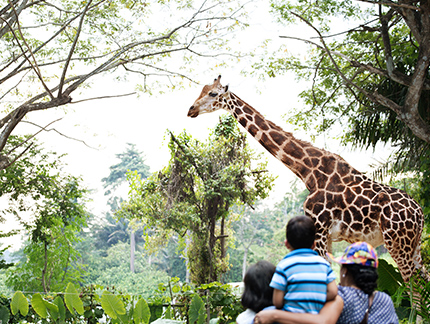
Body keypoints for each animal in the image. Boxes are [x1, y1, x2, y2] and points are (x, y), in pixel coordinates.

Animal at [187, 74, 426, 282]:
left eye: (213, 93)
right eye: (202, 90)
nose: (191, 109)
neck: (308, 172)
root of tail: (421, 214)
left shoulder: (319, 229)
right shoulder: (326, 236)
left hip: (397, 242)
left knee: (412, 287)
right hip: (413, 245)